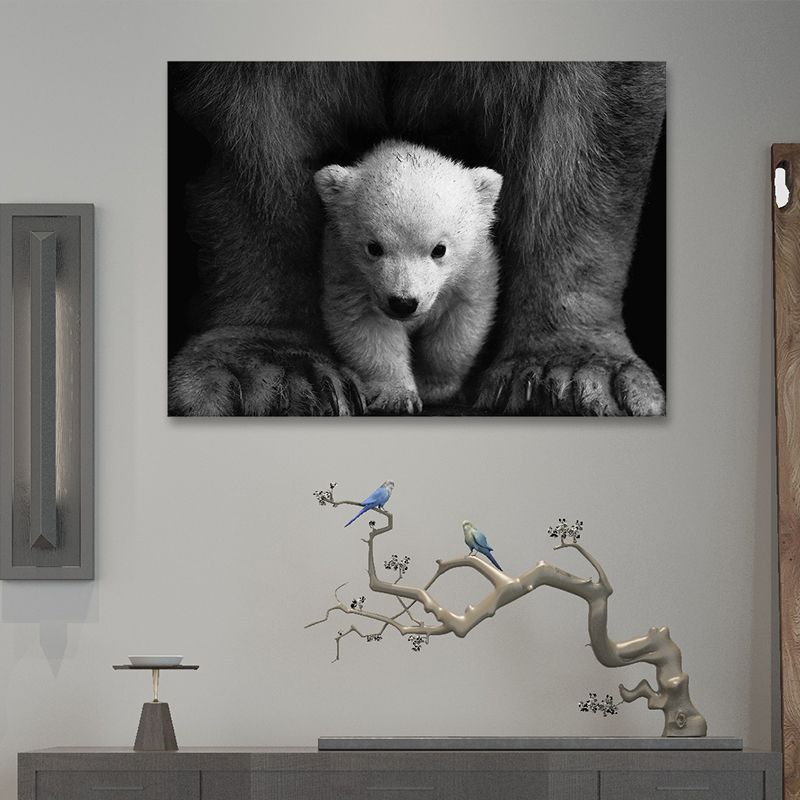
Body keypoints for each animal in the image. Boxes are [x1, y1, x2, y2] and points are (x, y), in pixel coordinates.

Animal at [314, 140, 503, 415]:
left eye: (439, 249)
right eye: (374, 247)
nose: (403, 303)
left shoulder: (472, 272)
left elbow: (459, 326)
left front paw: (434, 387)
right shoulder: (347, 273)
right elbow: (367, 328)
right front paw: (398, 396)